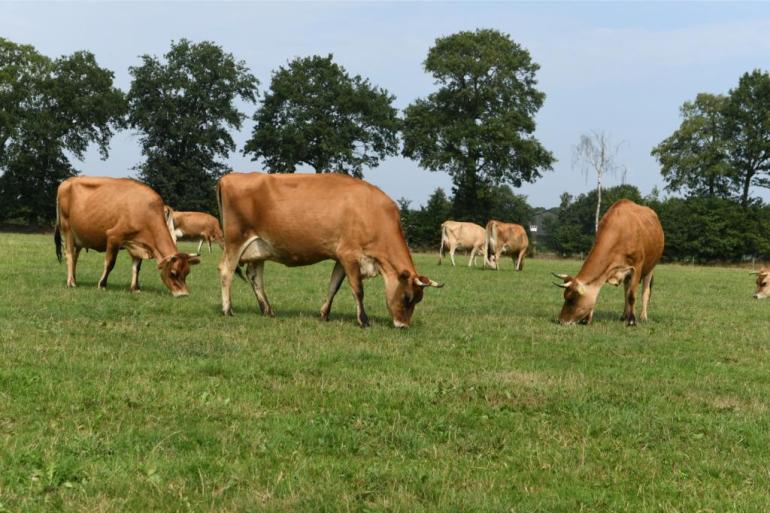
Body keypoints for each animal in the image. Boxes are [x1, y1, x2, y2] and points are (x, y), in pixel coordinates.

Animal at [55, 177, 200, 294]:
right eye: (173, 273)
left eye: (187, 272)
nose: (183, 294)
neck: (145, 212)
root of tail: (67, 181)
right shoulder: (113, 237)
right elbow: (110, 263)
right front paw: (102, 284)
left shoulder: (139, 243)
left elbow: (137, 267)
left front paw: (135, 288)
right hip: (67, 229)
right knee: (69, 254)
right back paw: (70, 282)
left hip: (79, 237)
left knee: (75, 256)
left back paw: (74, 279)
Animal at [216, 170, 444, 326]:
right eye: (407, 297)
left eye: (418, 299)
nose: (403, 326)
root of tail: (229, 177)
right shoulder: (349, 254)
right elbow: (358, 290)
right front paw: (364, 321)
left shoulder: (340, 258)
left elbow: (333, 286)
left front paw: (324, 314)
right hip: (236, 240)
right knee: (226, 270)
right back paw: (228, 309)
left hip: (259, 247)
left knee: (255, 277)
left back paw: (268, 310)